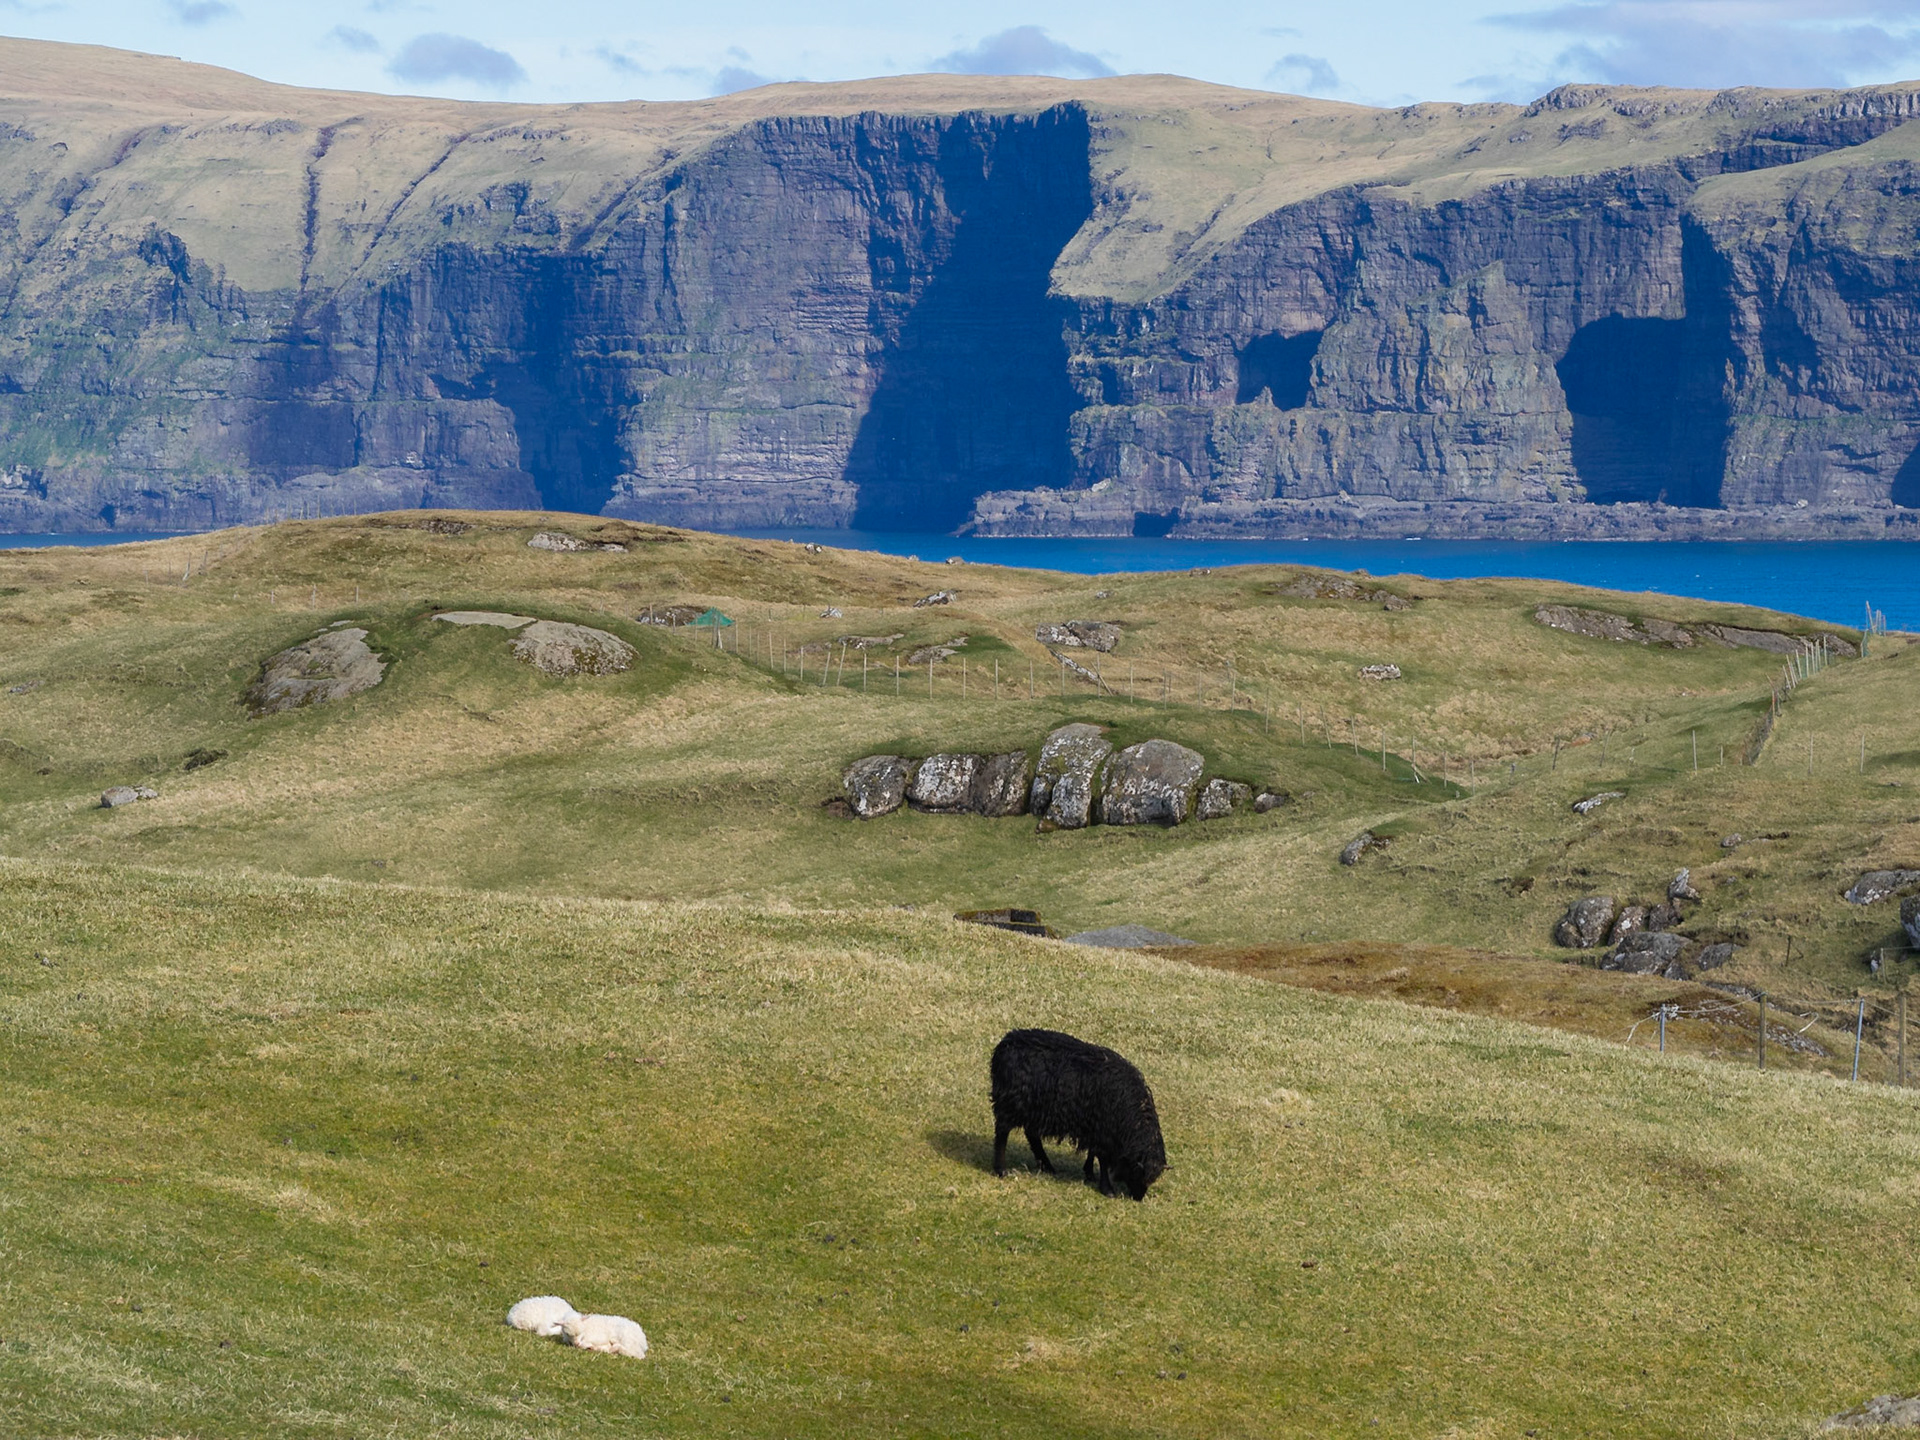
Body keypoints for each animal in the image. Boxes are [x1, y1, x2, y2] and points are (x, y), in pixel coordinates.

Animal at [990, 1028, 1167, 1201]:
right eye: (1139, 1174)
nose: (1138, 1198)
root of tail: (1005, 1044)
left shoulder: (1094, 1126)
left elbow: (1092, 1152)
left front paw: (1089, 1173)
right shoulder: (1103, 1131)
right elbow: (1102, 1159)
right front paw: (1107, 1189)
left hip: (1033, 1109)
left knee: (1032, 1135)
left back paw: (1047, 1166)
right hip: (1010, 1104)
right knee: (1002, 1134)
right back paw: (1001, 1170)